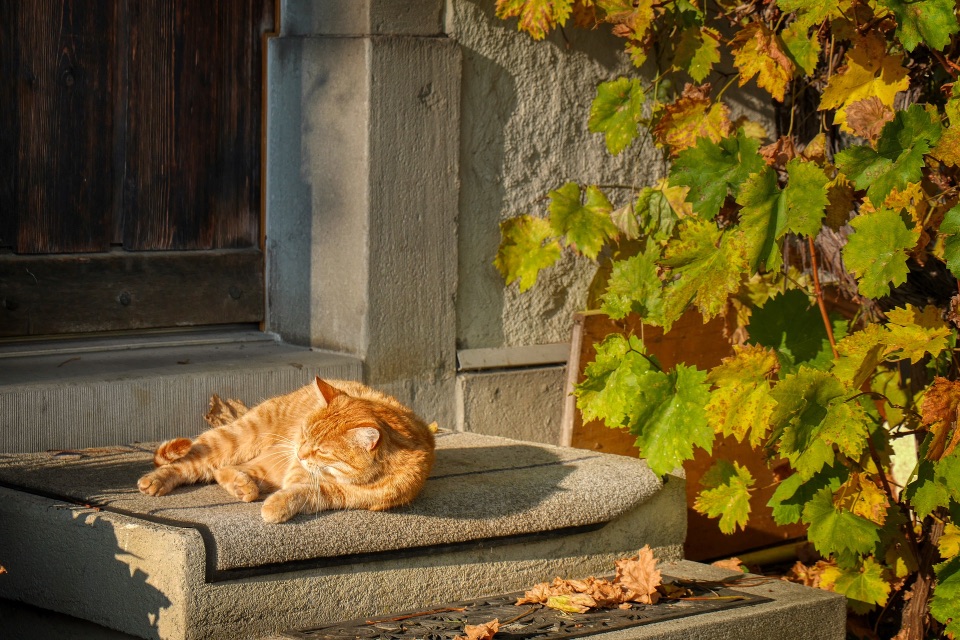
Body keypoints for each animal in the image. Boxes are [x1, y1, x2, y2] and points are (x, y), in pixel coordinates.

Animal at [135, 378, 436, 524]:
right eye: (305, 433)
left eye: (321, 450)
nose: (301, 453)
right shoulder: (298, 468)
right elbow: (298, 483)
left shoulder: (342, 496)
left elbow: (304, 493)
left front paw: (278, 505)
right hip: (235, 439)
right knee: (190, 463)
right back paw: (156, 480)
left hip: (261, 465)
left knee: (224, 471)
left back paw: (243, 487)